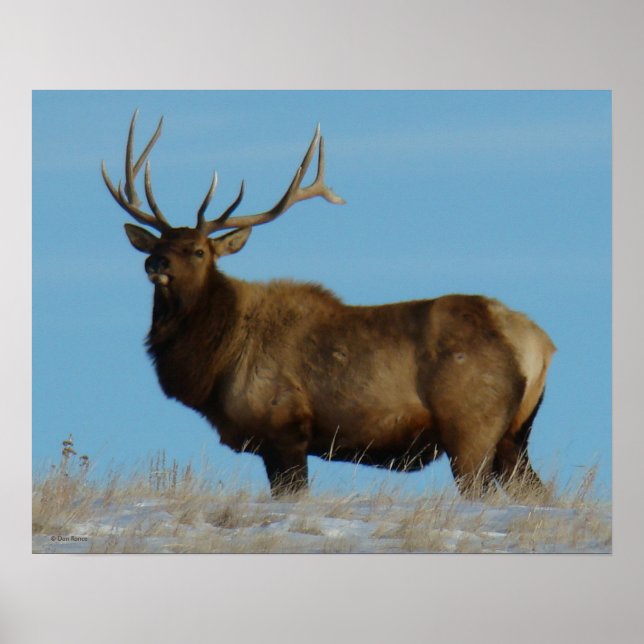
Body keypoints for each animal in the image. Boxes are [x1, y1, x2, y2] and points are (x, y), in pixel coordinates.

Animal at [102, 111, 556, 499]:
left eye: (197, 251)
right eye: (158, 244)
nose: (155, 263)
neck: (216, 364)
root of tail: (541, 345)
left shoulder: (284, 427)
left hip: (471, 426)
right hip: (514, 434)